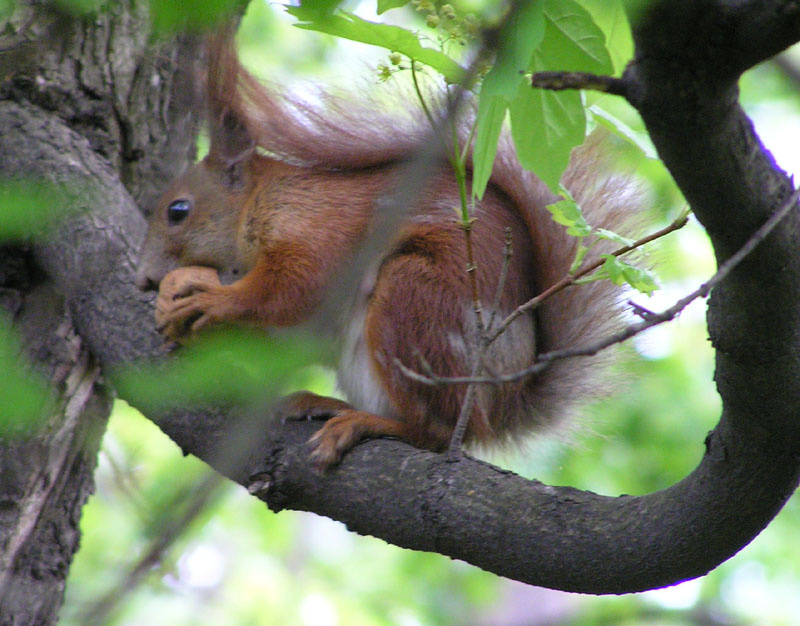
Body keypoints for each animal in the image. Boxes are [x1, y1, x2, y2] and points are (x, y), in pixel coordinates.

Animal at [135, 26, 632, 469]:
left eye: (177, 211)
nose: (143, 279)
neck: (255, 206)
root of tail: (503, 408)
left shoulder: (316, 227)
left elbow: (291, 289)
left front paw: (213, 300)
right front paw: (178, 306)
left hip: (414, 303)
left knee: (434, 433)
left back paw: (362, 424)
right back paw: (326, 403)